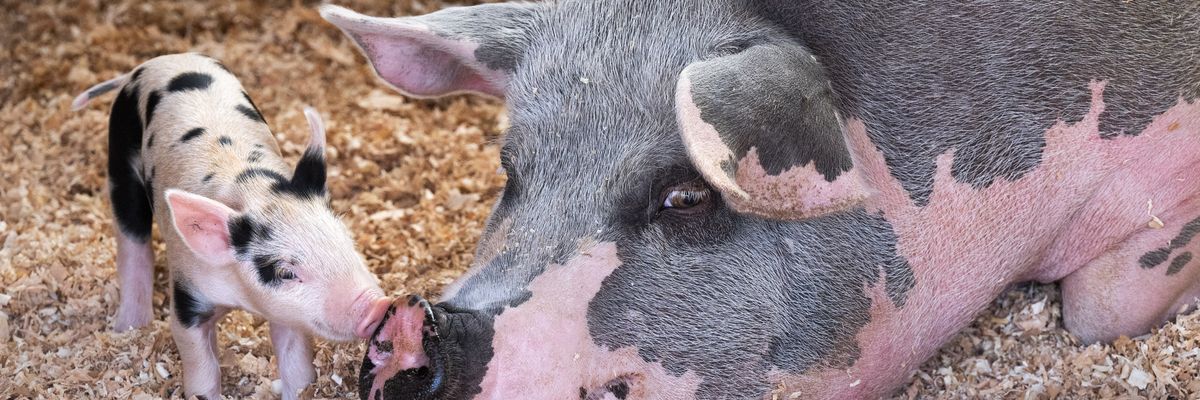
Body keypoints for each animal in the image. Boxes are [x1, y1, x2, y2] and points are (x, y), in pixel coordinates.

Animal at [73, 53, 392, 400]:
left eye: (347, 242)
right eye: (285, 272)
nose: (377, 305)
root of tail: (150, 63)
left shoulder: (288, 311)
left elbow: (296, 364)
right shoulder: (188, 294)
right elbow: (200, 365)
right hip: (120, 155)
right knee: (132, 240)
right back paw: (129, 329)